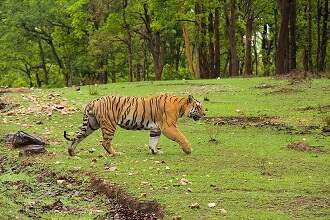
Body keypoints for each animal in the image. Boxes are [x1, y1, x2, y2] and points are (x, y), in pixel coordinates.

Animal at [63, 94, 205, 156]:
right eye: (198, 107)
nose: (204, 113)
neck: (181, 106)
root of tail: (93, 101)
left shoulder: (156, 129)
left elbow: (153, 141)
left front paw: (154, 151)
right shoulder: (168, 127)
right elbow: (181, 137)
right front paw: (188, 149)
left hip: (91, 125)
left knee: (77, 137)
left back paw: (71, 152)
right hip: (109, 125)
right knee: (105, 142)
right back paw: (116, 153)